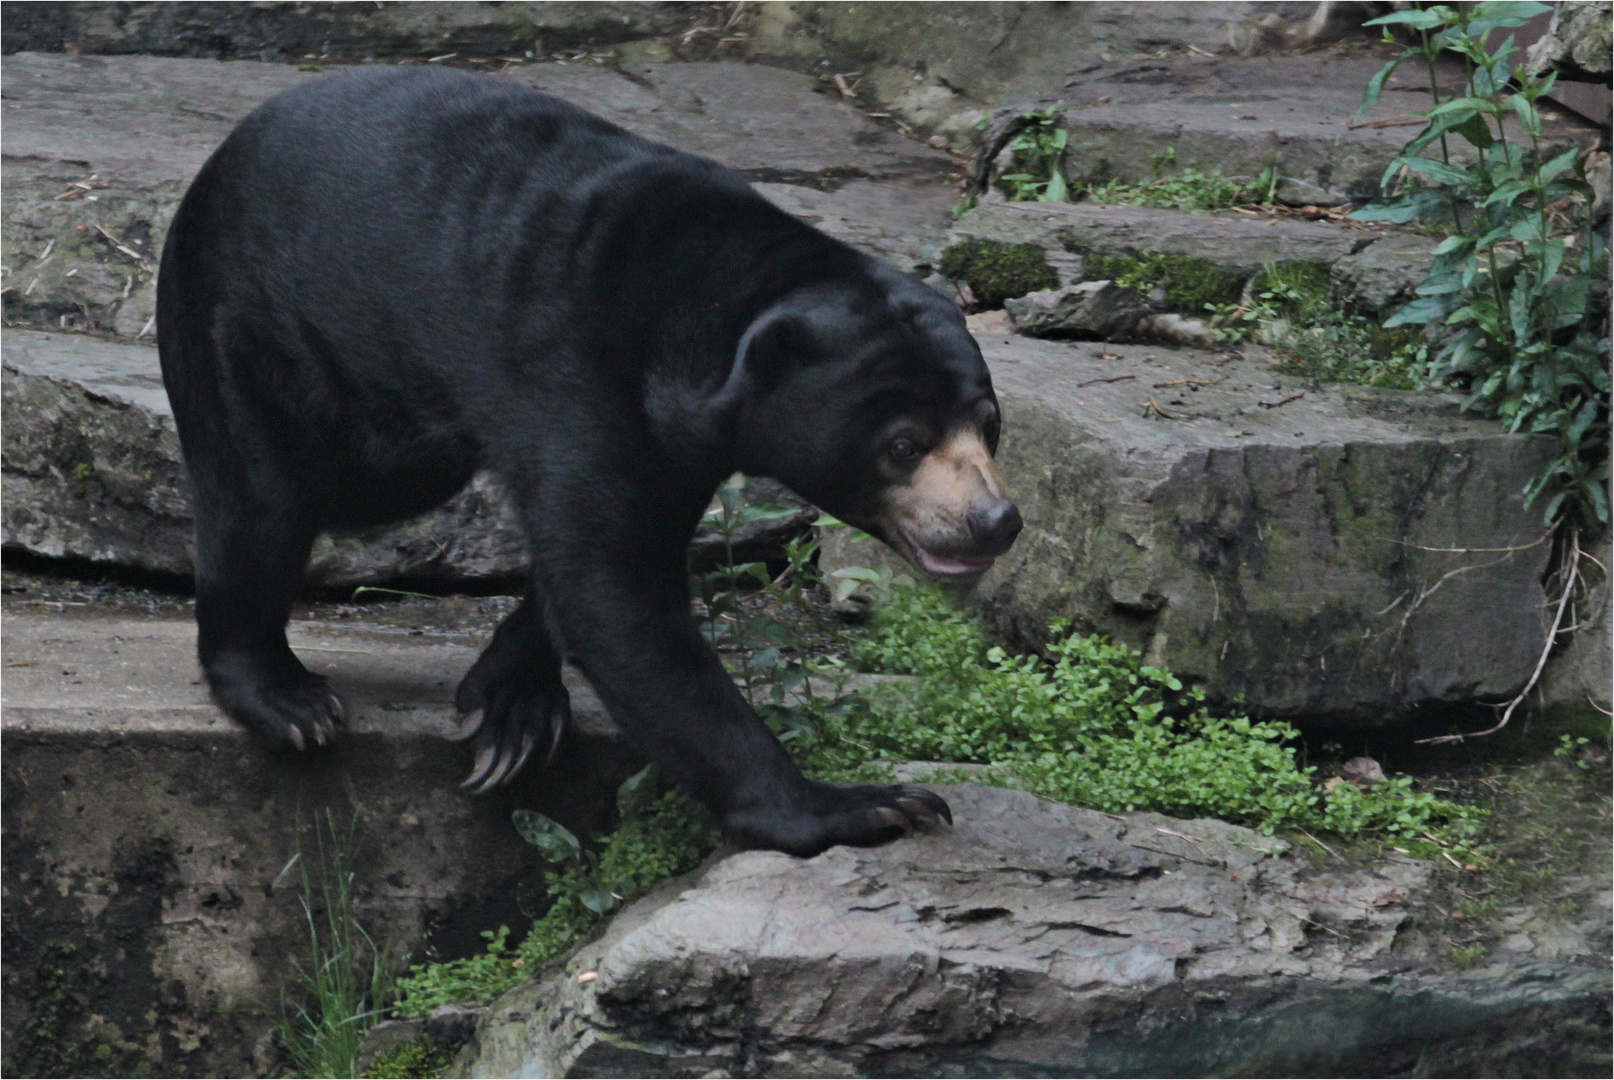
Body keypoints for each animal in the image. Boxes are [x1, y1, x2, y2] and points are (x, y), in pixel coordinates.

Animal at [163, 69, 1020, 858]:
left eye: (989, 426)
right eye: (902, 443)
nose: (995, 520)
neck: (710, 317)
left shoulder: (677, 445)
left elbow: (598, 565)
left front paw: (508, 710)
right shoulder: (579, 375)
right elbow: (616, 595)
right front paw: (868, 806)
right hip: (256, 323)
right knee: (262, 499)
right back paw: (287, 700)